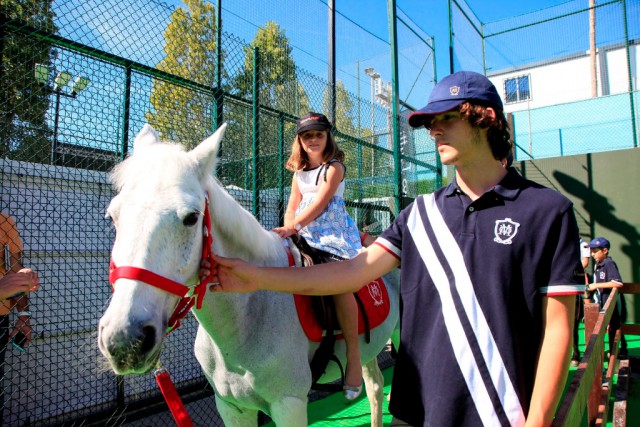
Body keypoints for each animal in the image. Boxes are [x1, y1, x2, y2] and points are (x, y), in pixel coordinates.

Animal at [97, 123, 400, 426]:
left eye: (192, 218)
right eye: (111, 216)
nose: (124, 340)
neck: (246, 319)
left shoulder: (289, 405)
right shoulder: (231, 406)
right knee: (374, 386)